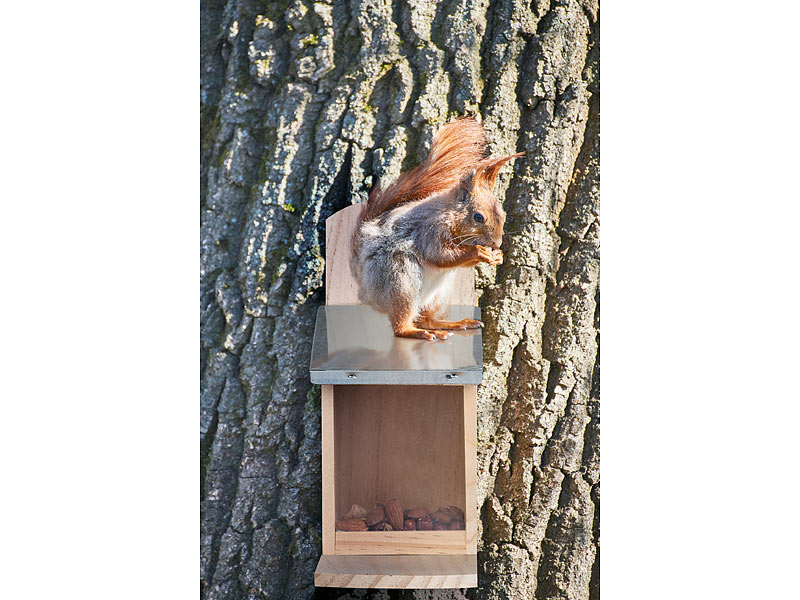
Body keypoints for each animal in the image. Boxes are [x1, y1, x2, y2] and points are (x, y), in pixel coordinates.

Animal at [354, 117, 520, 340]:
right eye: (478, 217)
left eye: (503, 215)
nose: (497, 243)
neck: (449, 215)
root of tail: (367, 293)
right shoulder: (429, 231)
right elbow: (439, 255)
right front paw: (478, 252)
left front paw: (498, 256)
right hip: (400, 279)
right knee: (400, 326)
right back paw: (416, 332)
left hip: (439, 294)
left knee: (427, 319)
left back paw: (453, 324)